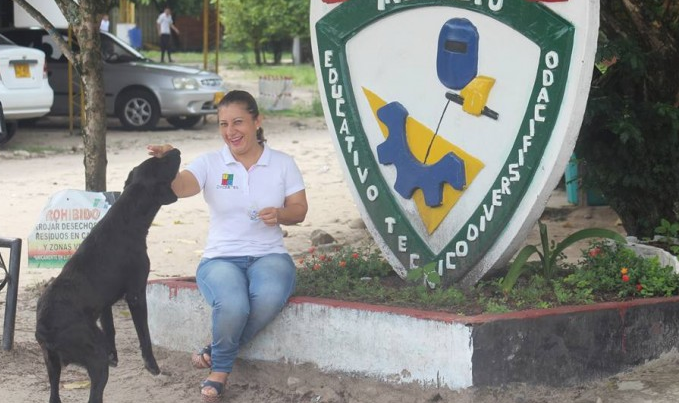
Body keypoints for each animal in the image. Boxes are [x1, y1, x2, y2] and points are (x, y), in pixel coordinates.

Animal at [35, 149, 182, 403]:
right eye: (162, 161)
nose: (177, 151)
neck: (127, 215)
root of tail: (44, 327)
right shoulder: (136, 293)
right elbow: (144, 334)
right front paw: (152, 366)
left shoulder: (105, 304)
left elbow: (110, 327)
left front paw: (116, 356)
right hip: (95, 358)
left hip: (52, 365)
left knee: (54, 395)